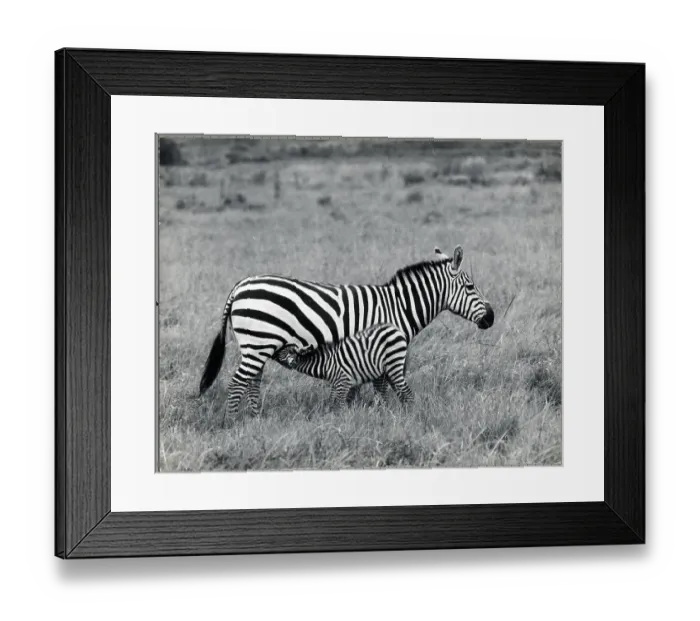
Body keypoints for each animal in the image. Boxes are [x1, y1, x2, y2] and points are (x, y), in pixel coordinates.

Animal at [274, 323, 414, 410]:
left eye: (283, 351)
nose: (274, 351)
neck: (326, 365)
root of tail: (396, 329)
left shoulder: (343, 383)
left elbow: (341, 406)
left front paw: (344, 423)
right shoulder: (335, 384)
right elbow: (331, 402)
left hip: (394, 364)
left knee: (407, 392)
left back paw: (409, 414)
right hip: (388, 369)